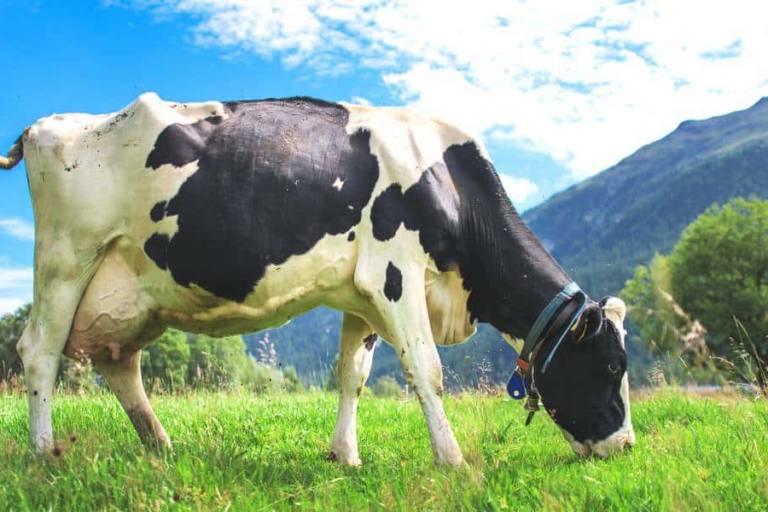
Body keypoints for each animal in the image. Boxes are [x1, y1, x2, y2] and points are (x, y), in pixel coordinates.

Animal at [0, 93, 634, 464]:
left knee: (118, 364)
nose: (625, 445)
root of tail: (46, 124)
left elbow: (353, 376)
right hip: (66, 258)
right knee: (39, 351)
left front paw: (345, 456)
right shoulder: (395, 271)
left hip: (132, 292)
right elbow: (426, 370)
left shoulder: (362, 294)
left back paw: (161, 445)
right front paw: (452, 461)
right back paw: (44, 455)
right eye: (610, 367)